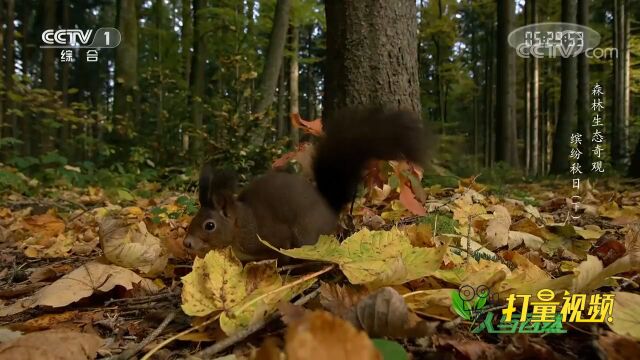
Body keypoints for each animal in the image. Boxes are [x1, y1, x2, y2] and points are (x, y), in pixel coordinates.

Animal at [182, 107, 428, 262]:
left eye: (209, 225)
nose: (187, 243)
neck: (243, 222)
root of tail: (329, 212)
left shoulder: (272, 237)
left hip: (307, 234)